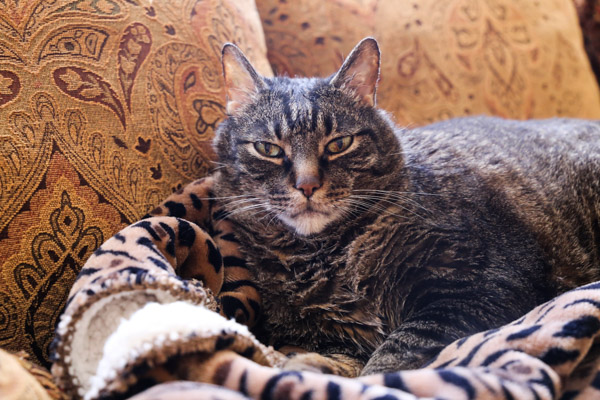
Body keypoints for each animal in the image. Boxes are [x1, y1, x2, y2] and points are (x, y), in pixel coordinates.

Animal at [211, 37, 600, 376]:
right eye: (269, 149)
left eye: (339, 144)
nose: (307, 185)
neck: (325, 255)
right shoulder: (335, 336)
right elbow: (337, 360)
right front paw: (308, 369)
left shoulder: (481, 287)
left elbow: (396, 351)